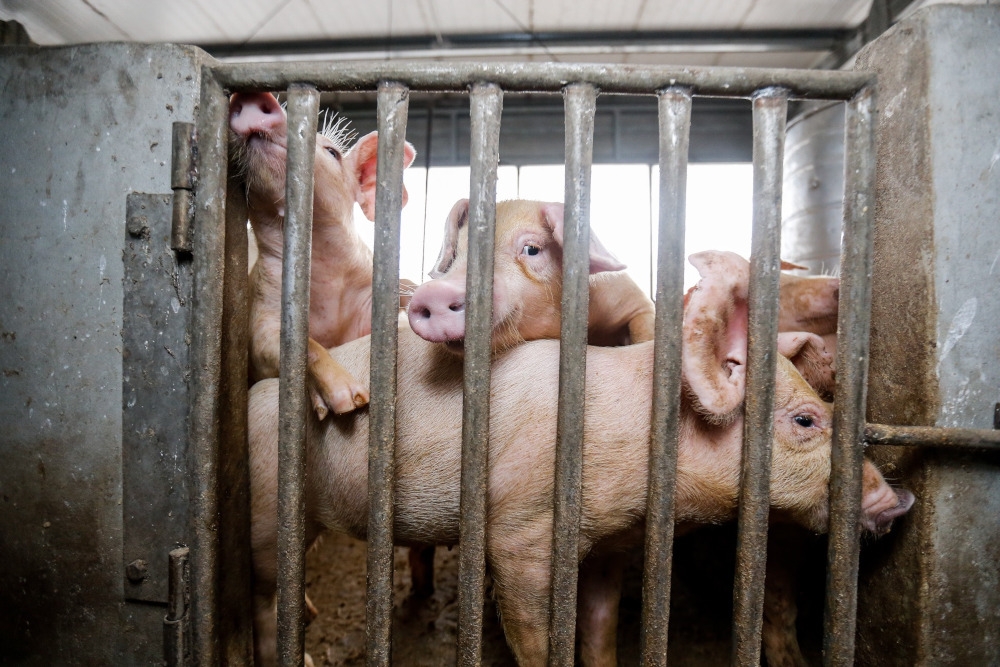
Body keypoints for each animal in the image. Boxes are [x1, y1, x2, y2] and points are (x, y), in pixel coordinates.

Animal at [246, 251, 913, 666]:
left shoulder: (609, 546)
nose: (897, 500)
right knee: (260, 594)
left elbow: (598, 626)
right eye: (805, 421)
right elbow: (533, 629)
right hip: (268, 510)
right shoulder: (516, 532)